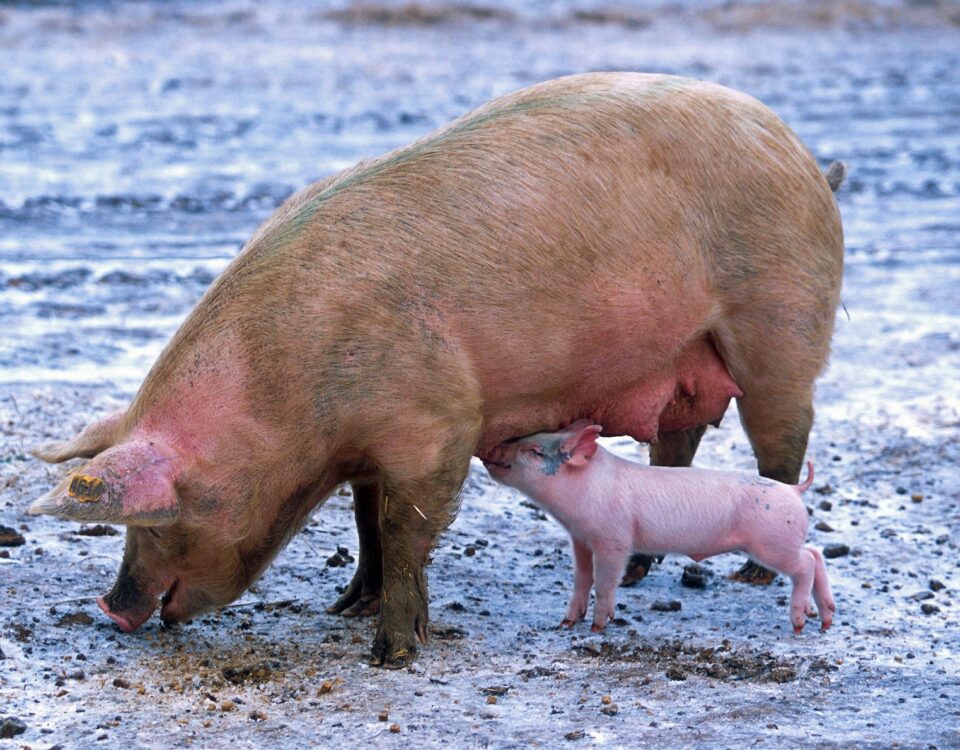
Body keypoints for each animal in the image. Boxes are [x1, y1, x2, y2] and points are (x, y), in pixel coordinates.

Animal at [484, 424, 836, 636]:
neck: (585, 489)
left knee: (806, 563)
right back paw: (825, 621)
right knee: (815, 553)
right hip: (782, 541)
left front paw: (598, 628)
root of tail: (795, 491)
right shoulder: (580, 538)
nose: (492, 449)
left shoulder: (613, 539)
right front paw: (567, 623)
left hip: (772, 543)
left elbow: (605, 581)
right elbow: (582, 579)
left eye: (535, 452)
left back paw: (800, 624)